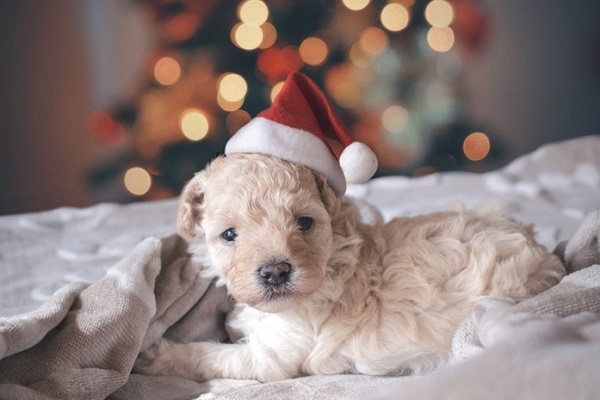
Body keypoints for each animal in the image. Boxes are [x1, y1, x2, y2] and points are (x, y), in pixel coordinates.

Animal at [136, 152, 568, 382]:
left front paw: (157, 354)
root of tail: (548, 259)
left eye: (304, 223)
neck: (331, 260)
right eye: (229, 235)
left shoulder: (271, 359)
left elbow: (210, 355)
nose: (275, 272)